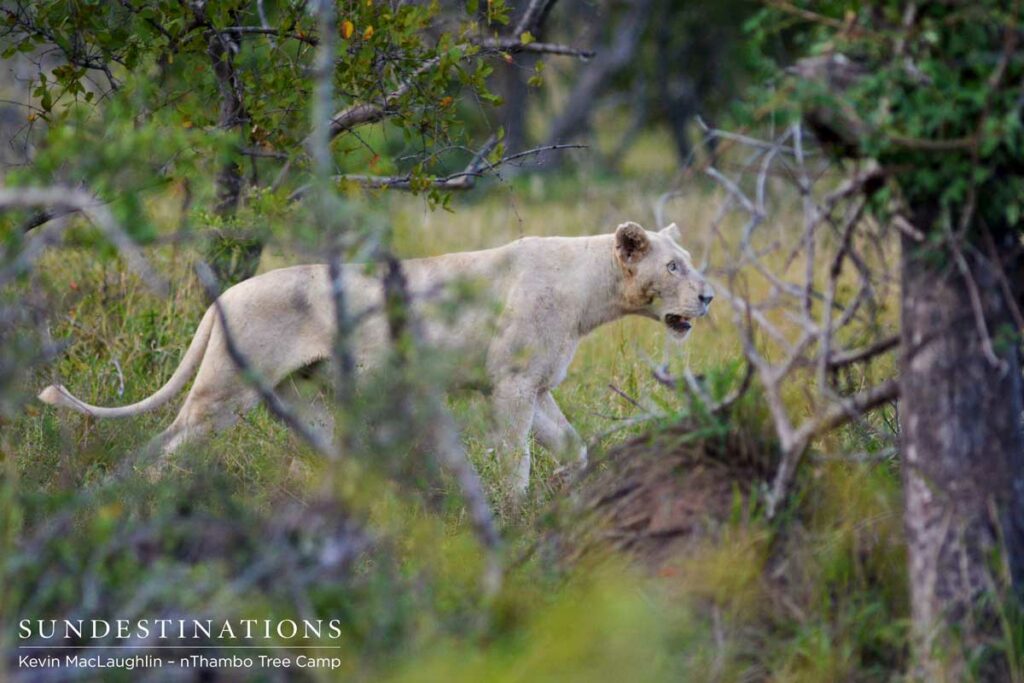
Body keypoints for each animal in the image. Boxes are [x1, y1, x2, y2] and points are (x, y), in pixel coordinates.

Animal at [38, 221, 713, 493]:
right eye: (673, 267)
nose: (708, 296)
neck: (591, 292)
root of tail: (223, 296)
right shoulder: (511, 387)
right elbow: (515, 458)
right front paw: (519, 507)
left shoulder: (538, 388)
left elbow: (574, 445)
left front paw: (569, 485)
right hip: (221, 394)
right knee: (164, 444)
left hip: (302, 402)